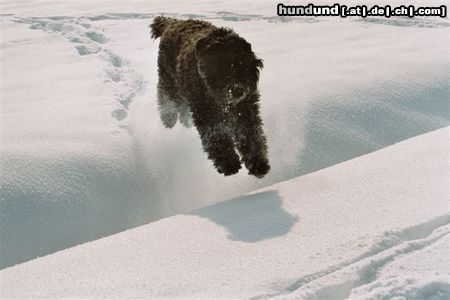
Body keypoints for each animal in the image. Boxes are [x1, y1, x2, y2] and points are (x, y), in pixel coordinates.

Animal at [151, 17, 270, 178]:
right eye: (221, 65)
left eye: (243, 64)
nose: (237, 89)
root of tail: (172, 22)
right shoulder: (206, 113)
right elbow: (216, 136)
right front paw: (228, 162)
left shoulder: (246, 111)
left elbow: (251, 136)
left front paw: (258, 163)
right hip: (168, 81)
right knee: (165, 99)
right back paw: (169, 119)